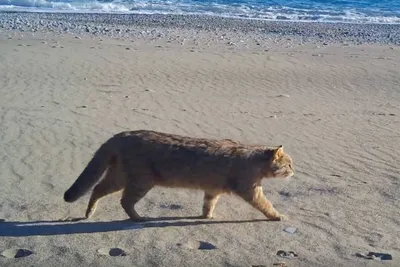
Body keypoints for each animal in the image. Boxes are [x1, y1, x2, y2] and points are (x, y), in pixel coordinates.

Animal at [63, 130, 294, 222]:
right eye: (289, 164)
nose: (294, 171)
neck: (253, 158)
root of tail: (121, 135)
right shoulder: (250, 190)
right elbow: (266, 205)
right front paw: (277, 215)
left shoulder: (212, 189)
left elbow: (208, 204)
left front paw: (207, 216)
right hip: (140, 181)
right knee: (125, 201)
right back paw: (138, 218)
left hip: (119, 176)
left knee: (97, 188)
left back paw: (89, 213)